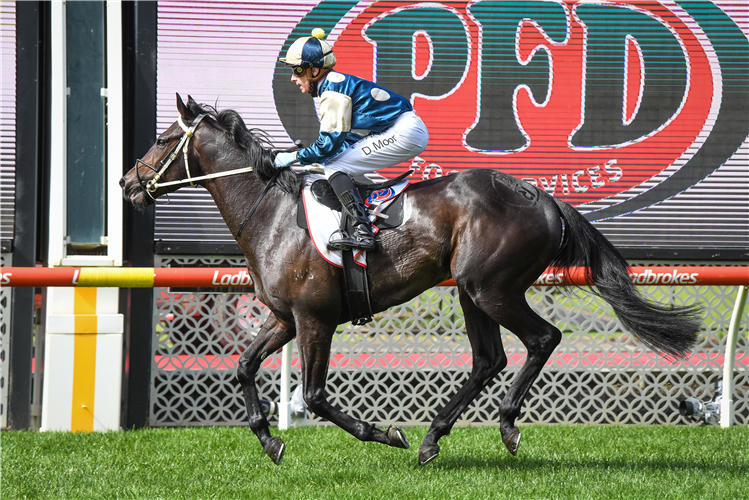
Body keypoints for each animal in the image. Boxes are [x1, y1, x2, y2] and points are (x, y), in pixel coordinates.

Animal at [120, 95, 700, 466]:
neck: (272, 214)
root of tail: (543, 197)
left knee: (543, 338)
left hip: (490, 287)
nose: (127, 182)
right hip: (469, 291)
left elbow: (315, 396)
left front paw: (385, 433)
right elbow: (243, 366)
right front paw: (268, 440)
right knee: (488, 359)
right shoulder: (285, 317)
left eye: (164, 139)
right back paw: (433, 439)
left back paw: (503, 424)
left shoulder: (315, 318)